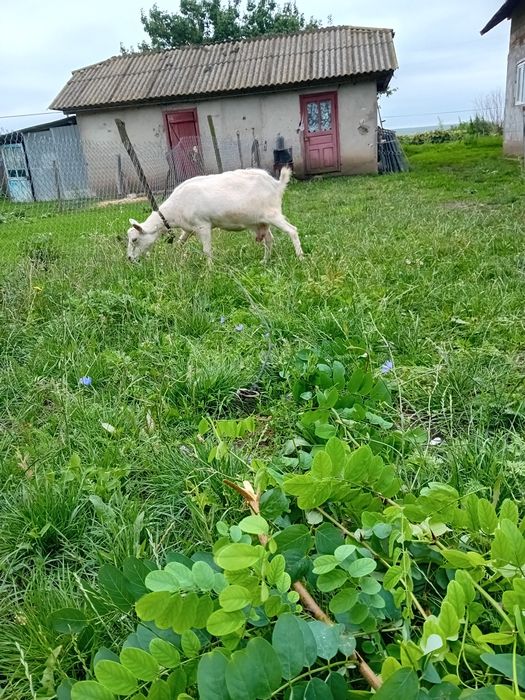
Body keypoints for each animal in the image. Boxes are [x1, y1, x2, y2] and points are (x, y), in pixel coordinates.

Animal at [126, 167, 303, 263]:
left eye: (134, 239)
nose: (129, 259)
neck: (175, 209)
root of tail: (277, 184)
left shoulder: (203, 225)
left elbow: (207, 251)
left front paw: (209, 271)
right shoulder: (188, 229)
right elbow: (180, 243)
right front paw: (176, 259)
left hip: (273, 214)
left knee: (292, 230)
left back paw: (300, 257)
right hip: (258, 222)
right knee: (269, 240)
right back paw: (265, 261)